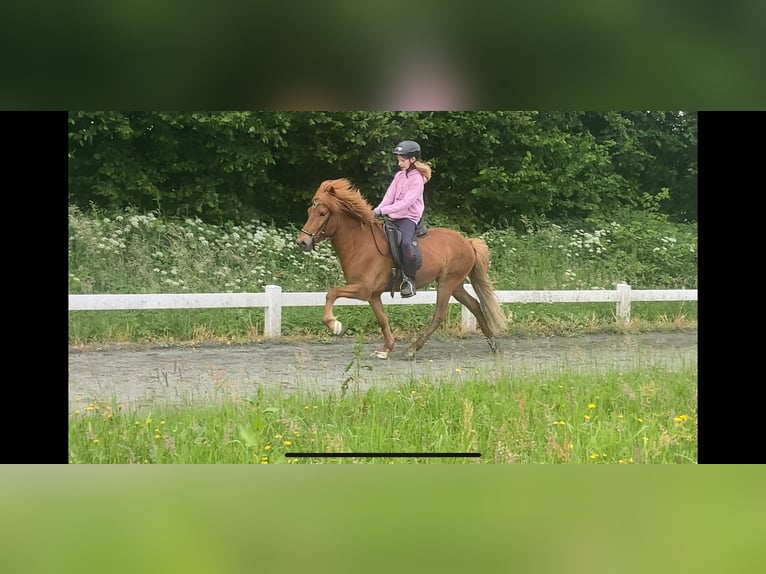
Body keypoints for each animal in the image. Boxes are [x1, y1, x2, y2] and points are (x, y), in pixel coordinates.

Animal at [296, 180, 508, 360]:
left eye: (322, 213)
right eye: (308, 211)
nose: (302, 242)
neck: (360, 244)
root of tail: (467, 241)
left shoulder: (362, 289)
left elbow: (331, 293)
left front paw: (335, 325)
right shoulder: (372, 295)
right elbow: (382, 319)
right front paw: (386, 349)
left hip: (447, 283)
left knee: (440, 315)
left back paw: (412, 349)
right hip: (455, 285)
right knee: (474, 305)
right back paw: (494, 344)